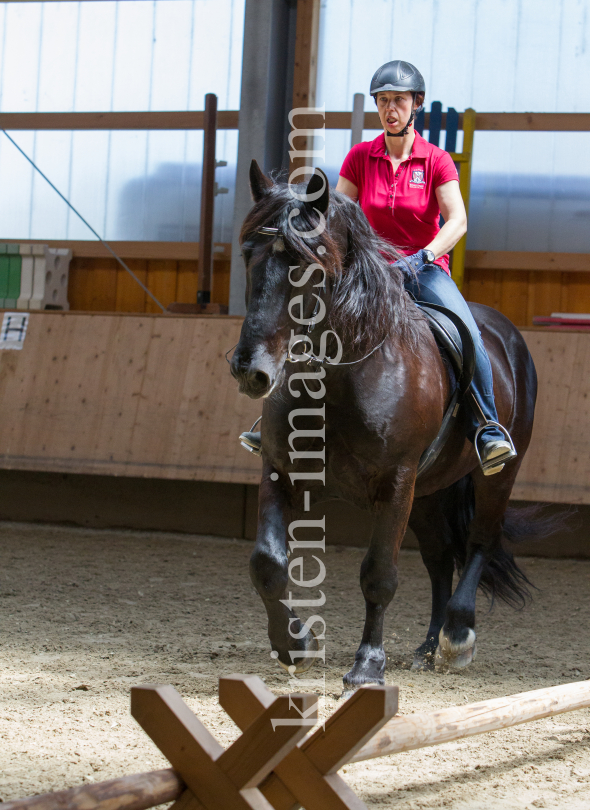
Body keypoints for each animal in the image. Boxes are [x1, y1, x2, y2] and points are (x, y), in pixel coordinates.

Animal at [230, 161, 540, 684]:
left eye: (306, 263)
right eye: (248, 251)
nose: (250, 369)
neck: (341, 376)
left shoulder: (396, 481)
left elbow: (379, 575)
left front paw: (368, 665)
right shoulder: (281, 470)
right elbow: (266, 563)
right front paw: (294, 643)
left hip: (495, 475)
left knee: (480, 540)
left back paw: (457, 636)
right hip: (429, 491)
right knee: (439, 558)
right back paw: (428, 645)